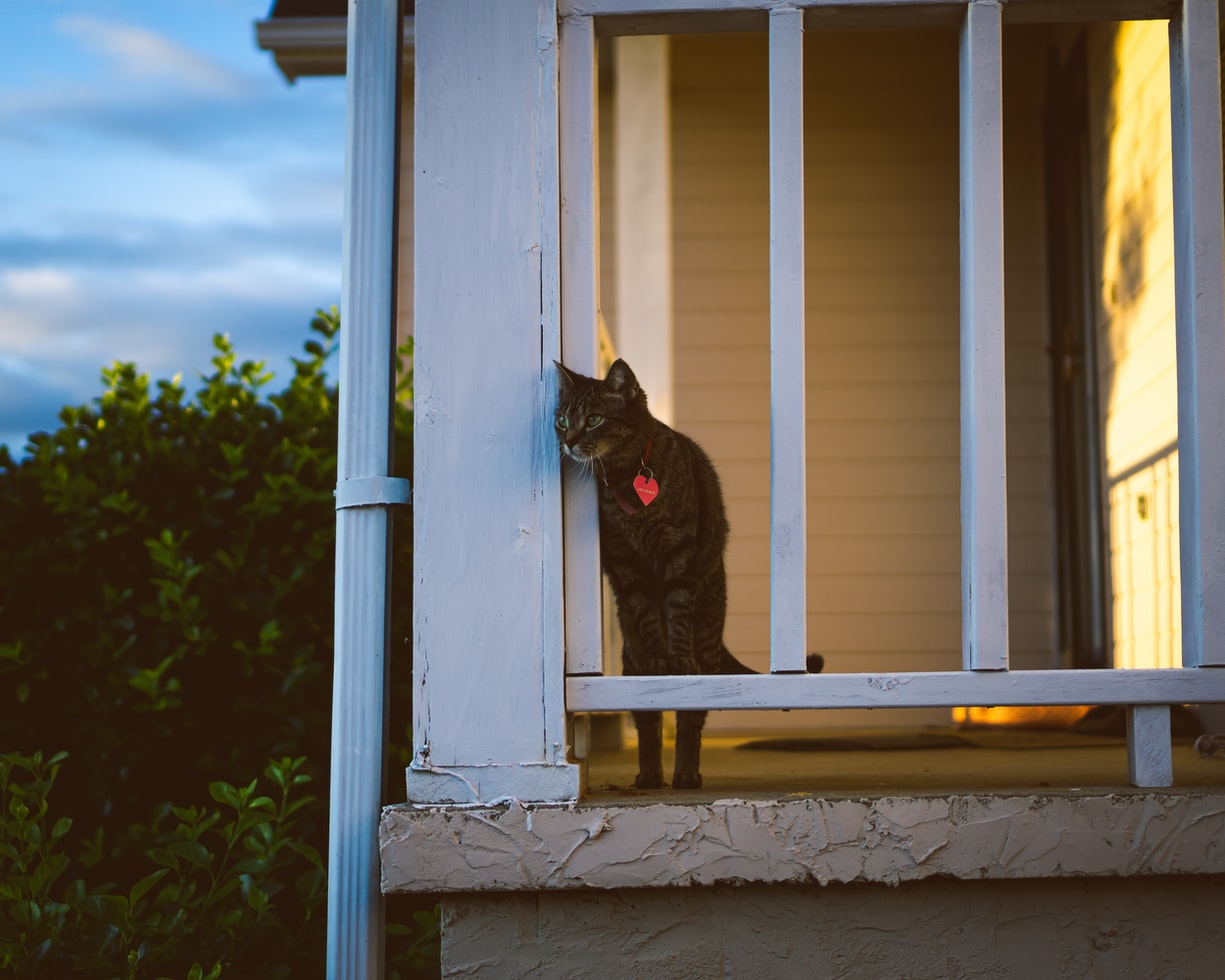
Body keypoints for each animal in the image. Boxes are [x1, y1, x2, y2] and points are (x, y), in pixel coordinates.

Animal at [556, 360, 823, 788]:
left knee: (690, 717)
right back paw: (649, 775)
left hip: (707, 652)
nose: (567, 441)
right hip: (630, 662)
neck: (627, 477)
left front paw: (677, 656)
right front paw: (660, 658)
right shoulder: (626, 565)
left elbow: (676, 612)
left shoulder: (679, 554)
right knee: (648, 725)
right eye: (562, 419)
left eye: (594, 419)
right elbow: (647, 616)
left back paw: (685, 773)